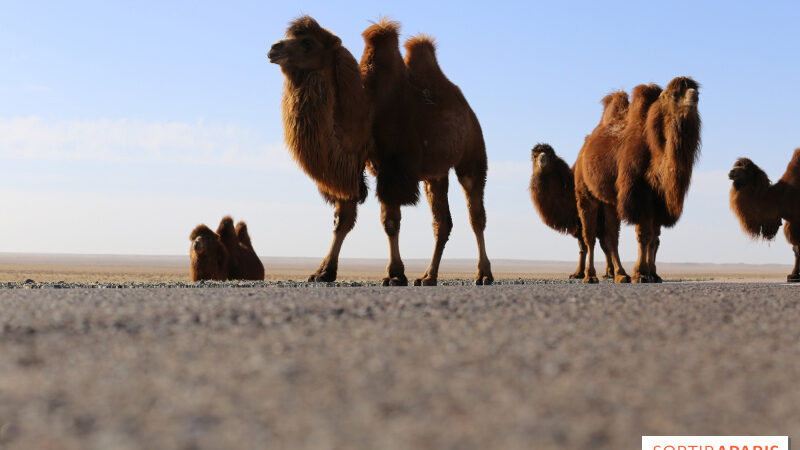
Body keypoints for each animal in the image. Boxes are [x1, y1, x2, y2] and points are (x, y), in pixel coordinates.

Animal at [362, 19, 494, 286]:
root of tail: (470, 111)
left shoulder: (396, 167)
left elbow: (392, 221)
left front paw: (395, 274)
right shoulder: (382, 167)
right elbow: (388, 220)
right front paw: (393, 275)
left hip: (472, 155)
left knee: (476, 216)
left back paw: (484, 274)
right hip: (436, 174)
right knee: (442, 222)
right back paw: (428, 276)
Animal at [532, 142, 620, 280]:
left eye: (550, 156)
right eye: (535, 156)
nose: (542, 158)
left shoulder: (592, 220)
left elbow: (602, 244)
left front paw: (608, 273)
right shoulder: (578, 224)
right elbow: (583, 246)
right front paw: (578, 273)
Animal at [576, 76, 700, 282]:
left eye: (694, 88)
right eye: (675, 94)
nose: (694, 95)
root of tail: (583, 150)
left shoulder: (659, 201)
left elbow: (655, 238)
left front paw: (653, 274)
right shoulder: (639, 193)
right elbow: (644, 235)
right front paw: (641, 273)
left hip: (610, 202)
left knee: (611, 236)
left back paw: (620, 274)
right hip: (585, 193)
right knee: (590, 236)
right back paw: (590, 276)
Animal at [732, 149, 800, 282]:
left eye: (747, 169)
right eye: (736, 165)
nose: (731, 172)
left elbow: (798, 249)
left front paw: (794, 276)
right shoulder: (792, 222)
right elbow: (796, 249)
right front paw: (793, 276)